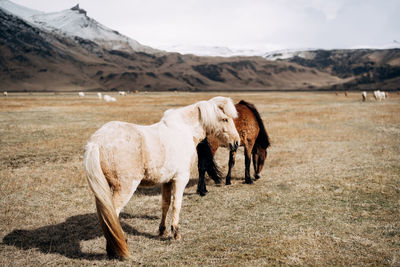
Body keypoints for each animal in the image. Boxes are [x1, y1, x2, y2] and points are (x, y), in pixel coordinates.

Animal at [84, 96, 239, 260]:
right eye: (225, 119)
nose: (236, 143)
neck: (183, 130)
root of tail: (96, 142)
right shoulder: (180, 179)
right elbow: (176, 204)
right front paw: (176, 233)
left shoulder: (167, 181)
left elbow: (165, 204)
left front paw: (162, 230)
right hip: (125, 188)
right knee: (112, 215)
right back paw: (115, 250)